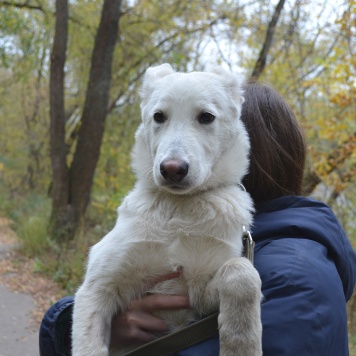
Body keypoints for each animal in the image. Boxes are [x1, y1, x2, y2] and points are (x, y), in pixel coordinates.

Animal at [71, 64, 262, 356]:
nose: (172, 169)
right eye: (159, 116)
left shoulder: (199, 298)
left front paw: (241, 345)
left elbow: (241, 272)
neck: (178, 209)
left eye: (206, 117)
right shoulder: (97, 287)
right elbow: (88, 346)